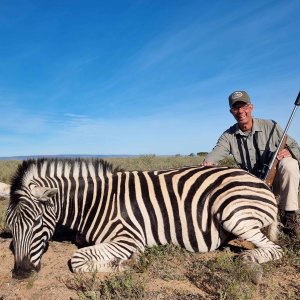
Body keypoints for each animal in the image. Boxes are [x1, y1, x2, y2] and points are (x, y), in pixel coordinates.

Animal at [7, 157, 282, 282]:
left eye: (37, 223)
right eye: (10, 227)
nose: (20, 273)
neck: (95, 202)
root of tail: (256, 180)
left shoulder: (127, 238)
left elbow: (77, 260)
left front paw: (128, 263)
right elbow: (81, 243)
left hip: (233, 214)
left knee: (275, 249)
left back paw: (247, 261)